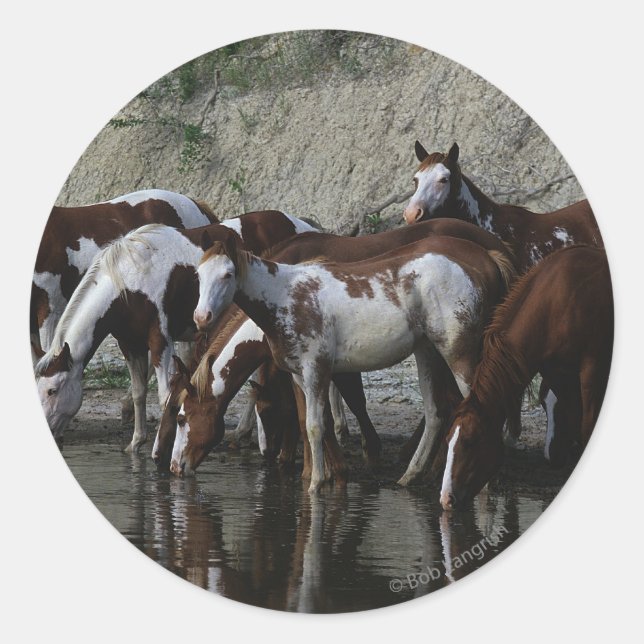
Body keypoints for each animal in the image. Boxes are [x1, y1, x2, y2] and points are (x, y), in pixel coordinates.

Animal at [34, 211, 318, 452]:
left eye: (52, 390)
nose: (48, 432)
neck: (129, 281)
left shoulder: (160, 341)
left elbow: (164, 397)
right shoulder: (130, 343)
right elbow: (138, 392)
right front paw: (136, 442)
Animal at [190, 229, 515, 492]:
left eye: (227, 274)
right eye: (199, 275)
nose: (201, 317)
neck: (285, 296)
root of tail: (483, 260)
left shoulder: (316, 370)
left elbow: (315, 426)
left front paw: (317, 483)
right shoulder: (299, 375)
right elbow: (312, 422)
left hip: (458, 354)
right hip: (428, 353)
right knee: (436, 412)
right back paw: (411, 475)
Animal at [440, 246, 613, 510]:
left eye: (471, 441)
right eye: (448, 440)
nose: (446, 498)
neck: (558, 302)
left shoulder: (592, 367)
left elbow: (586, 425)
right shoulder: (556, 372)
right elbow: (573, 416)